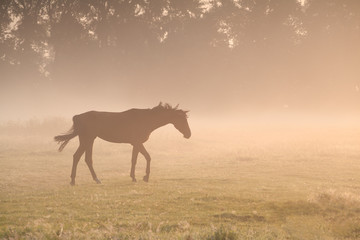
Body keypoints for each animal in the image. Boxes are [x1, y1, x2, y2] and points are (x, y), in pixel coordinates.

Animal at [53, 102, 191, 185]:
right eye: (182, 119)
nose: (188, 134)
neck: (146, 119)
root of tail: (78, 116)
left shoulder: (136, 144)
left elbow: (137, 159)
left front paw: (136, 177)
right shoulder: (137, 142)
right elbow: (144, 158)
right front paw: (142, 177)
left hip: (88, 140)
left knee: (84, 158)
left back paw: (87, 179)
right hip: (88, 139)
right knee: (79, 157)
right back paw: (79, 180)